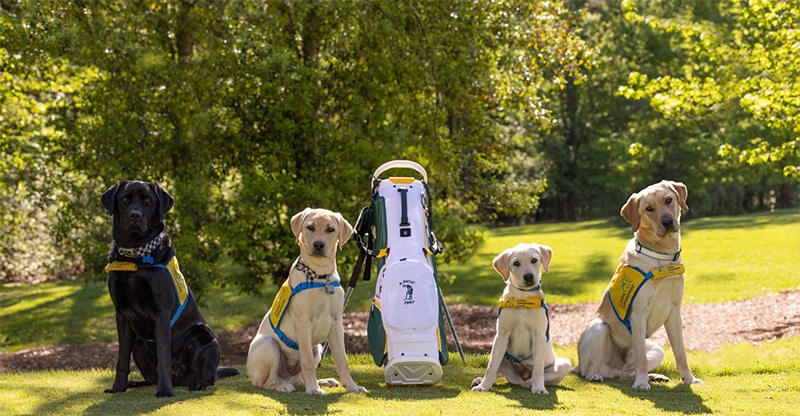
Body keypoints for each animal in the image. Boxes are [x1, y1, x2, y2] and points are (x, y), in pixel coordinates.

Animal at [245, 210, 368, 394]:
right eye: (310, 227)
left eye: (330, 229)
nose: (318, 245)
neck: (321, 276)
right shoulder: (303, 322)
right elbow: (307, 362)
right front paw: (313, 389)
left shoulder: (336, 323)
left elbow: (342, 360)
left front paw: (352, 386)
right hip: (269, 344)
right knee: (267, 382)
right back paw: (283, 386)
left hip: (317, 348)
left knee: (299, 378)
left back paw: (323, 381)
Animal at [472, 242, 572, 394]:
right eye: (516, 263)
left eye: (534, 260)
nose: (529, 277)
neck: (522, 299)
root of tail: (522, 376)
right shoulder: (501, 335)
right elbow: (491, 366)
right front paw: (483, 386)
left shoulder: (539, 336)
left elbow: (538, 368)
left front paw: (539, 388)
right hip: (498, 352)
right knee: (501, 371)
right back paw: (482, 380)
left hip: (564, 364)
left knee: (536, 376)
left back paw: (531, 384)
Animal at [580, 180, 704, 390]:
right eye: (649, 209)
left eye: (668, 200)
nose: (667, 221)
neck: (662, 257)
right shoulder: (638, 313)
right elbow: (640, 357)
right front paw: (641, 383)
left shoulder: (674, 312)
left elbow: (681, 353)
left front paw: (689, 379)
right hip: (599, 327)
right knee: (591, 370)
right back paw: (598, 375)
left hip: (657, 348)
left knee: (625, 373)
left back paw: (654, 376)